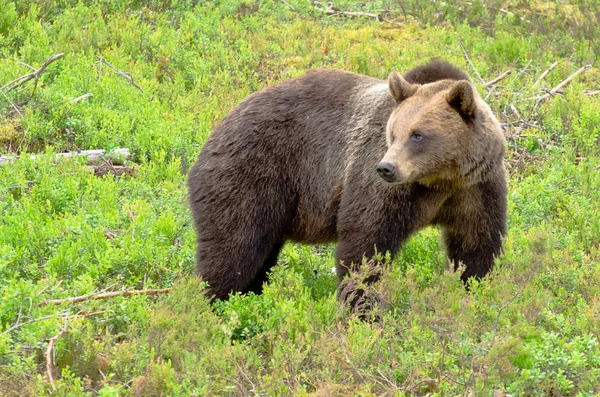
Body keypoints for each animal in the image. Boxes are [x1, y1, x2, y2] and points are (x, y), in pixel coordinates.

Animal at [188, 58, 506, 302]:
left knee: (258, 258)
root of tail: (214, 130)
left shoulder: (476, 188)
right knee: (233, 250)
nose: (386, 168)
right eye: (393, 133)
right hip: (252, 176)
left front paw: (475, 291)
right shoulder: (382, 186)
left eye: (418, 135)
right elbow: (365, 244)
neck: (439, 180)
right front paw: (362, 309)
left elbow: (476, 244)